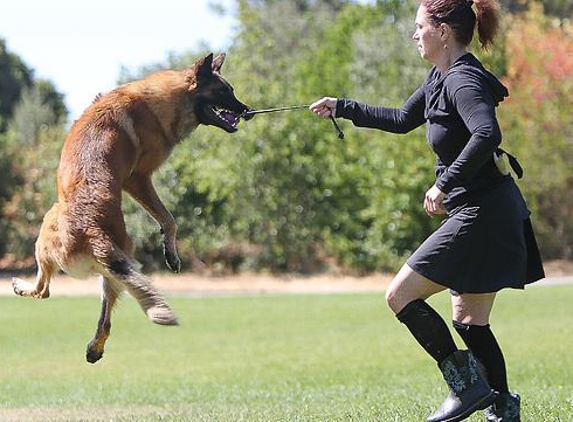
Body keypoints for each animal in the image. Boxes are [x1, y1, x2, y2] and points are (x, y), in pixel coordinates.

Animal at [11, 52, 251, 362]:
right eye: (224, 91)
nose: (248, 111)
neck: (169, 99)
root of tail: (92, 229)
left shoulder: (138, 179)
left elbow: (169, 218)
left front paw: (170, 253)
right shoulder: (139, 180)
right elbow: (169, 219)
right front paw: (171, 253)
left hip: (47, 236)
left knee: (43, 290)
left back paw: (21, 287)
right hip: (112, 270)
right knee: (105, 317)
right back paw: (95, 348)